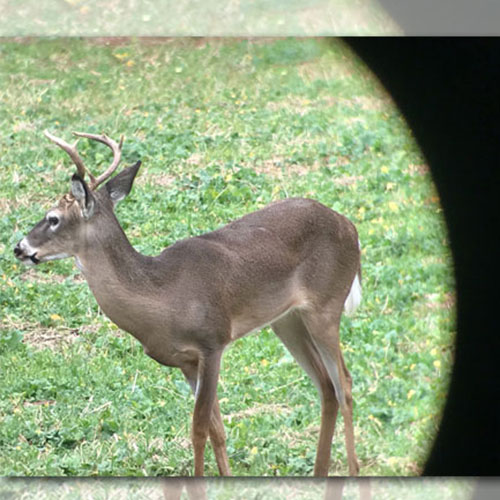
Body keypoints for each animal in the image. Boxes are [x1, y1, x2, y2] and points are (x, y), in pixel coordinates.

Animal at [13, 130, 362, 476]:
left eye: (53, 218)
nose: (19, 247)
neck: (162, 295)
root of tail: (350, 227)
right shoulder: (186, 361)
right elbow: (216, 430)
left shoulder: (212, 343)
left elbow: (198, 429)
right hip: (286, 320)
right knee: (326, 386)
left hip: (326, 305)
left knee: (343, 382)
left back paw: (353, 472)